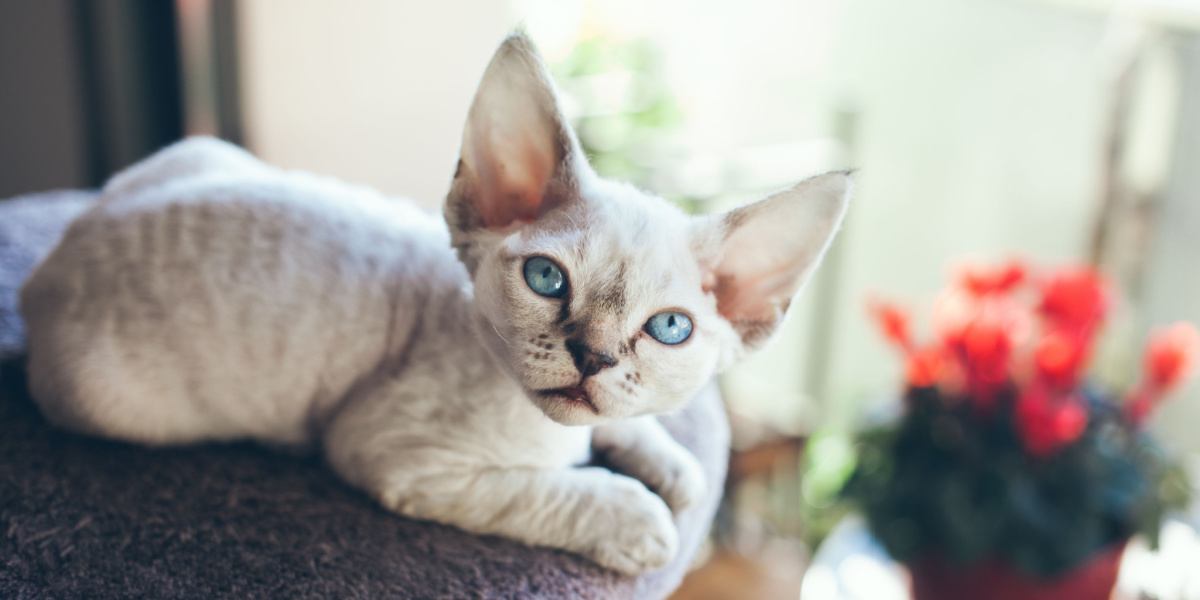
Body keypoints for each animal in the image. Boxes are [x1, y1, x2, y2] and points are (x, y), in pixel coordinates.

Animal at [18, 34, 854, 576]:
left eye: (669, 329)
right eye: (548, 280)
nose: (592, 356)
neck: (547, 431)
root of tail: (49, 265)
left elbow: (632, 434)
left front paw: (674, 470)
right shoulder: (394, 454)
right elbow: (557, 492)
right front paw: (643, 521)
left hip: (201, 156)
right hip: (111, 403)